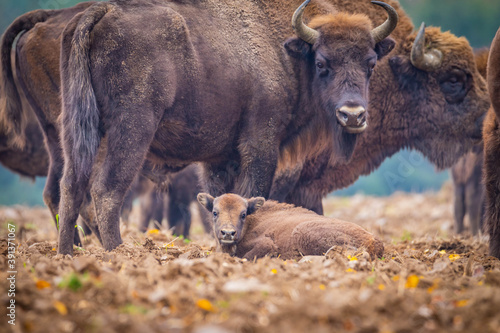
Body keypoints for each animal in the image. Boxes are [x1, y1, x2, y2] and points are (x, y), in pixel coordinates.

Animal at [195, 192, 382, 260]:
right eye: (214, 212)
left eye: (243, 214)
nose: (228, 233)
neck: (249, 223)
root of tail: (374, 240)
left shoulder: (266, 244)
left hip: (302, 232)